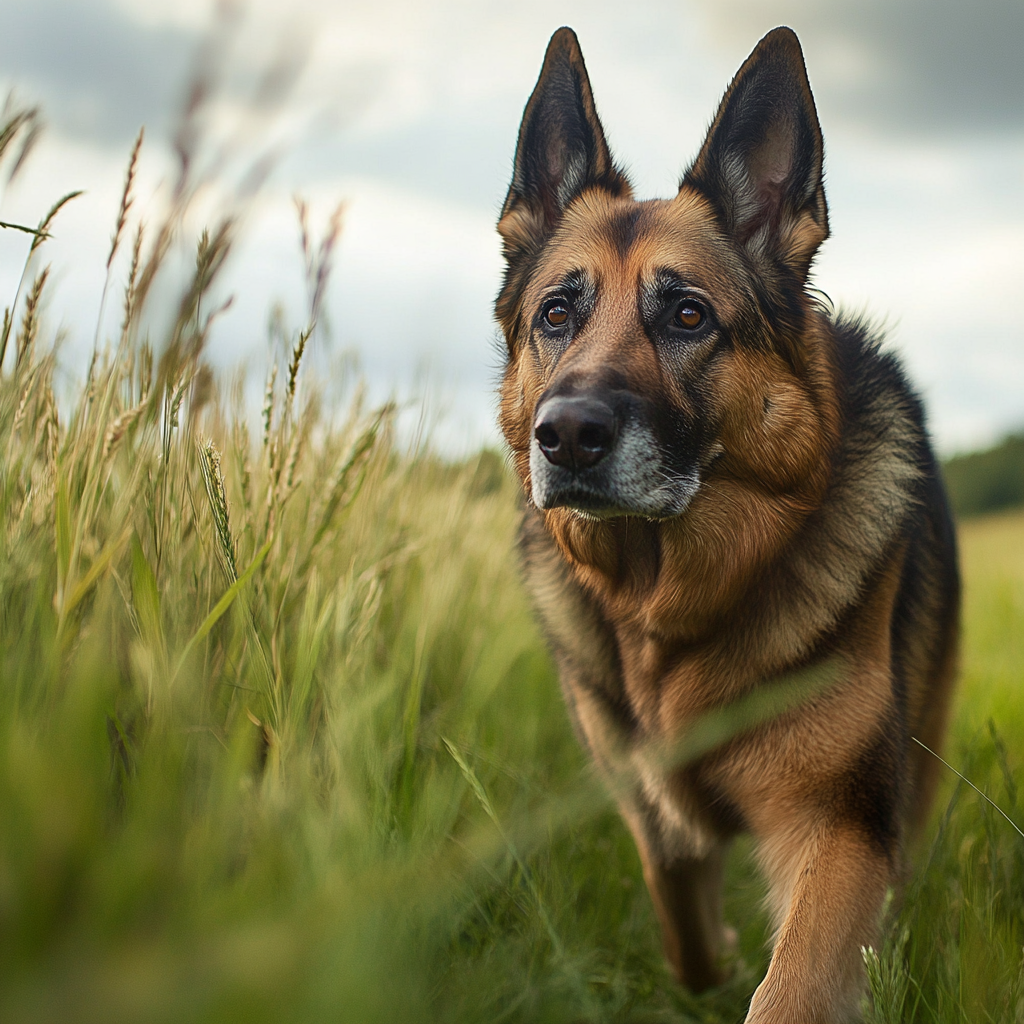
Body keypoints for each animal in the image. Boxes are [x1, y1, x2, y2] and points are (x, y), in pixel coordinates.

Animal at [495, 24, 958, 1024]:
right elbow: (691, 941)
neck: (666, 616)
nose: (567, 436)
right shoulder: (653, 817)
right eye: (557, 313)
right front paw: (718, 958)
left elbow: (793, 990)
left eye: (687, 315)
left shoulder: (839, 830)